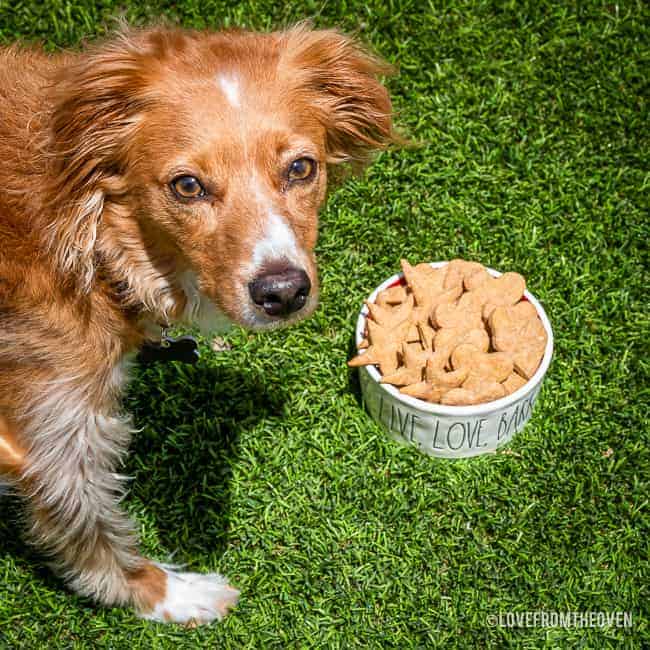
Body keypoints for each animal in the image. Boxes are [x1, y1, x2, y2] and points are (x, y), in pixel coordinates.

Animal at [0, 24, 394, 624]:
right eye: (187, 186)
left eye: (301, 168)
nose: (283, 292)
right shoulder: (53, 428)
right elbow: (91, 528)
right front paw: (167, 594)